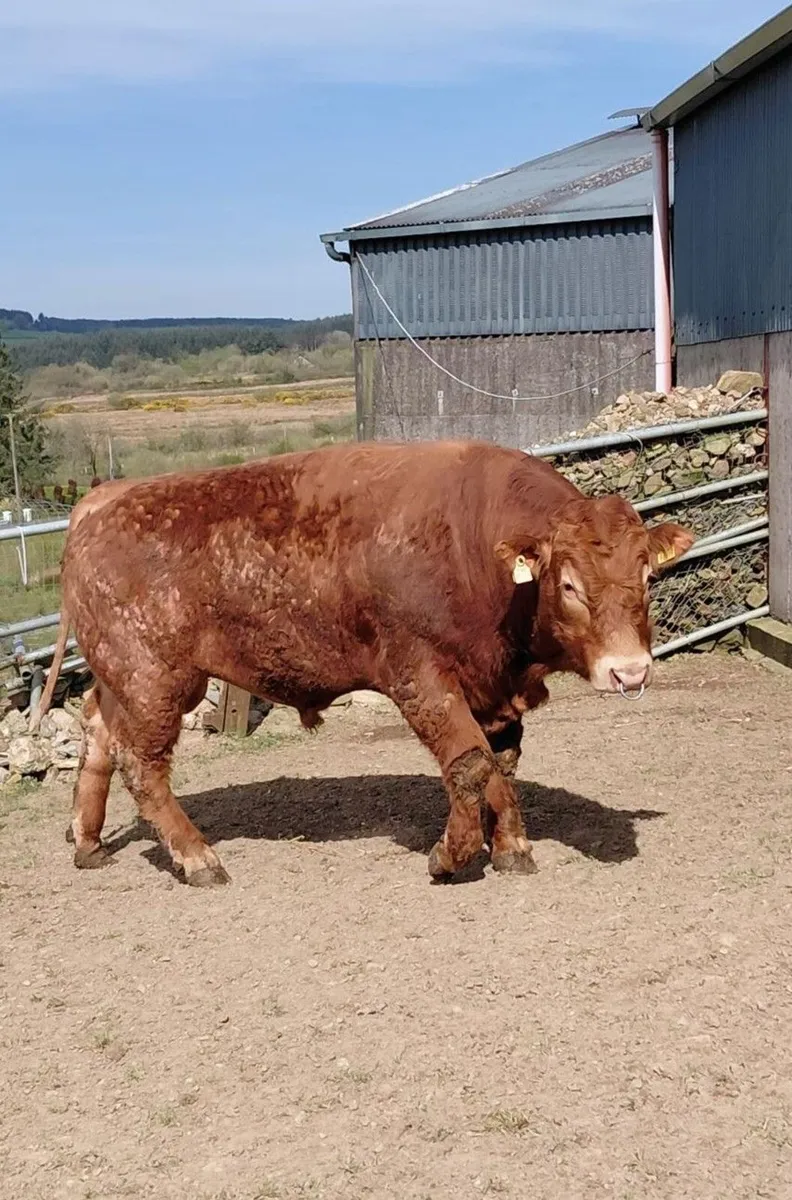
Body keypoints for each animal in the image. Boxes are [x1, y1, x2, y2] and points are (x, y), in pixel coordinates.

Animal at [37, 440, 693, 887]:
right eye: (570, 584)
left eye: (645, 573)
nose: (630, 671)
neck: (472, 547)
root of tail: (101, 500)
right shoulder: (421, 679)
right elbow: (469, 765)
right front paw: (451, 856)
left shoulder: (493, 689)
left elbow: (500, 764)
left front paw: (511, 847)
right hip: (155, 681)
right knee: (142, 765)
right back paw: (198, 857)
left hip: (122, 681)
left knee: (97, 734)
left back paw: (88, 842)